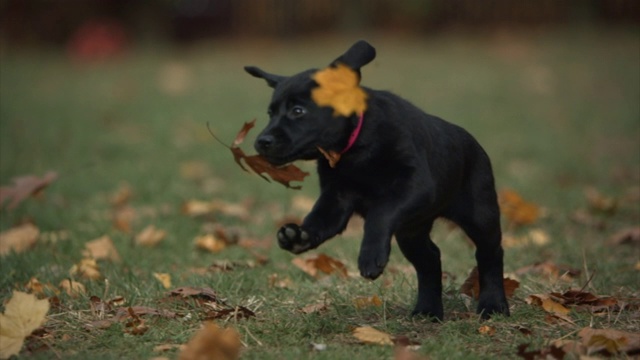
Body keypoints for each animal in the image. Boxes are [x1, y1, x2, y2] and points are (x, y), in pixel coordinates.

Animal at [245, 41, 510, 320]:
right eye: (270, 113)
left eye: (298, 111)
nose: (261, 141)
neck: (355, 148)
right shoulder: (336, 197)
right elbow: (319, 219)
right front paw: (299, 236)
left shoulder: (414, 184)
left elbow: (380, 213)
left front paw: (370, 256)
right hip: (411, 231)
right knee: (430, 259)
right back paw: (427, 310)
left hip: (480, 214)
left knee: (490, 253)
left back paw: (493, 304)